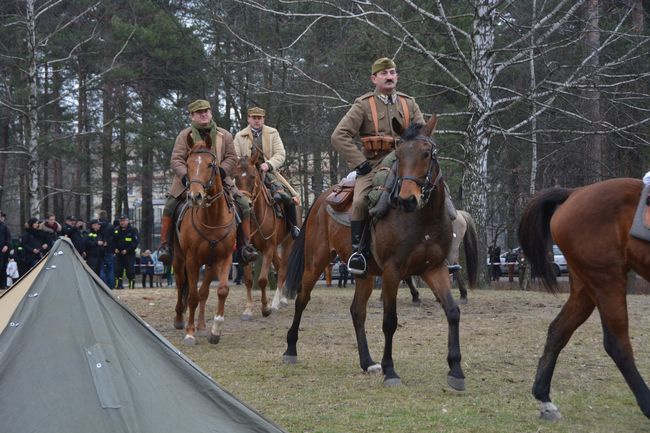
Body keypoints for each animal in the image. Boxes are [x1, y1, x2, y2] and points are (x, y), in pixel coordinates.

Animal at [171, 140, 237, 346]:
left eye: (210, 165)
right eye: (188, 164)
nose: (195, 196)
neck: (212, 218)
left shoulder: (224, 258)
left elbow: (221, 290)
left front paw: (215, 331)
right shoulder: (192, 260)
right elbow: (192, 296)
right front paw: (190, 333)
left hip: (209, 264)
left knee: (204, 291)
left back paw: (201, 325)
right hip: (179, 260)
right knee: (181, 285)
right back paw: (180, 319)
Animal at [230, 150, 294, 318]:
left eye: (253, 176)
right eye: (235, 176)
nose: (245, 202)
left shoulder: (268, 248)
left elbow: (263, 280)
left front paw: (265, 308)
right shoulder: (245, 251)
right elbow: (248, 280)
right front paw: (248, 309)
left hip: (287, 242)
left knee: (283, 269)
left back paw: (277, 302)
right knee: (279, 265)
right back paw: (281, 299)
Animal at [280, 114, 464, 388]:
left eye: (427, 153)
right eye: (399, 153)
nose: (407, 199)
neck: (423, 220)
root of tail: (322, 197)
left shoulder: (435, 269)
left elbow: (452, 312)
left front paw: (456, 370)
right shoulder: (392, 272)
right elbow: (390, 321)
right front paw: (391, 371)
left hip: (363, 275)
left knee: (357, 311)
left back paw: (366, 362)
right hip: (315, 263)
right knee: (302, 299)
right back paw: (290, 349)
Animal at [516, 176, 648, 418]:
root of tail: (575, 192)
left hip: (585, 288)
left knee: (558, 330)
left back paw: (544, 398)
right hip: (606, 280)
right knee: (617, 344)